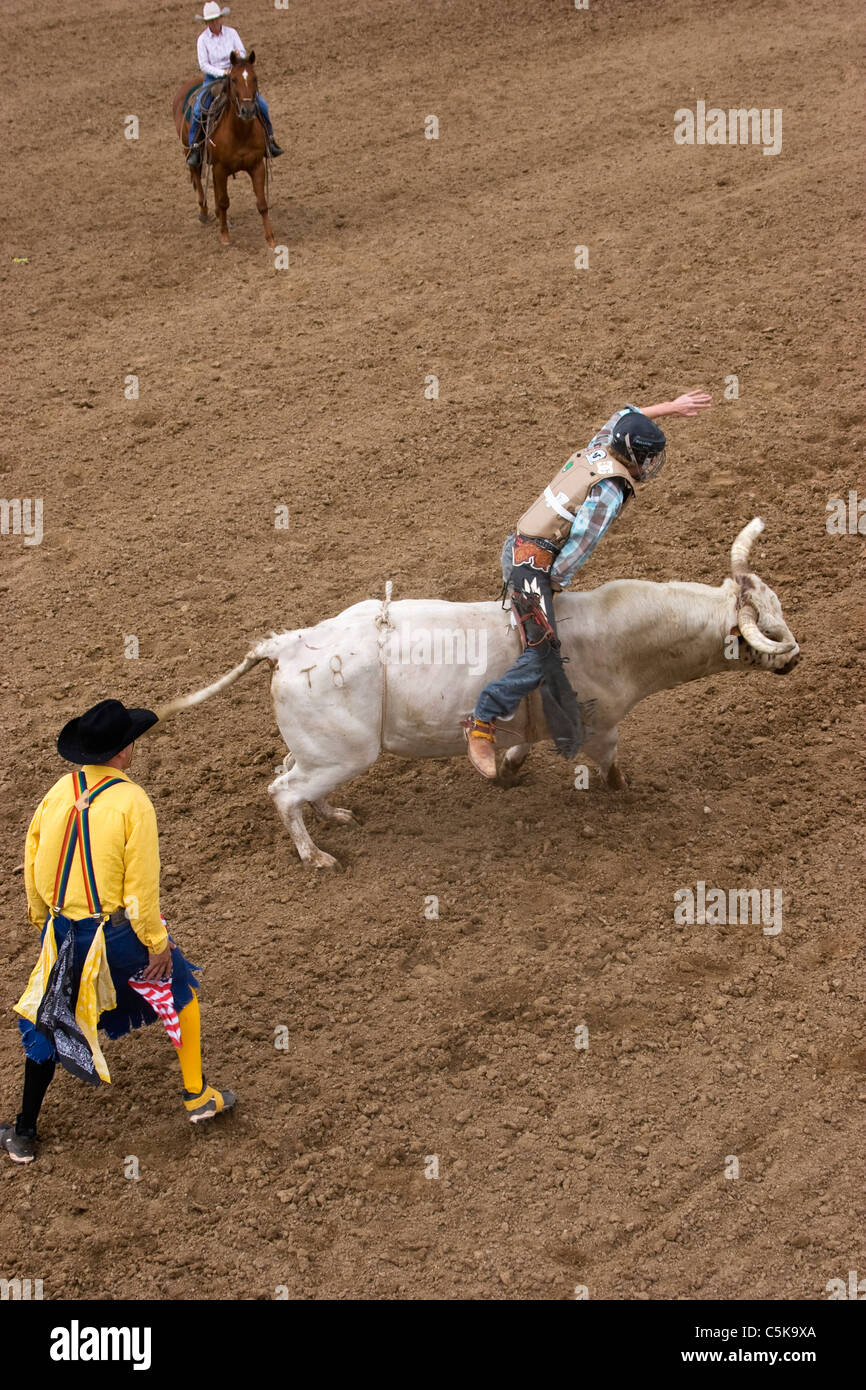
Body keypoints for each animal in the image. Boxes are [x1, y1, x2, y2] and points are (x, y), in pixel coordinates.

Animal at [155, 522, 800, 867]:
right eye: (761, 629)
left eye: (777, 606)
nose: (794, 657)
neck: (613, 636)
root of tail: (287, 645)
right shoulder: (601, 728)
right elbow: (612, 768)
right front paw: (630, 795)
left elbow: (518, 746)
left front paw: (506, 772)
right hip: (342, 755)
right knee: (282, 792)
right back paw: (317, 855)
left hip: (320, 751)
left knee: (291, 777)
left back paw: (333, 814)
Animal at [171, 51, 273, 250]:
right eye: (233, 79)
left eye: (255, 78)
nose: (248, 110)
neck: (239, 132)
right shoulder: (220, 168)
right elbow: (224, 201)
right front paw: (225, 236)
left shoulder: (257, 165)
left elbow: (262, 203)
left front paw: (270, 239)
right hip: (189, 150)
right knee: (197, 176)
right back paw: (204, 212)